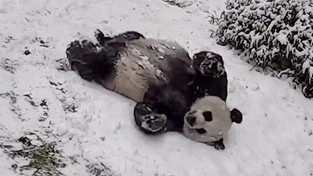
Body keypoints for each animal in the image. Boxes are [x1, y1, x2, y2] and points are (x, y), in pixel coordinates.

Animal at [65, 30, 241, 150]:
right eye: (208, 115)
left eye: (202, 130)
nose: (191, 119)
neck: (187, 106)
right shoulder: (203, 87)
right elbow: (212, 79)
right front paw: (211, 63)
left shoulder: (173, 118)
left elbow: (149, 113)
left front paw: (153, 120)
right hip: (135, 40)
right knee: (129, 36)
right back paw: (95, 40)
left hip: (108, 69)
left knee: (98, 63)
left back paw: (80, 51)